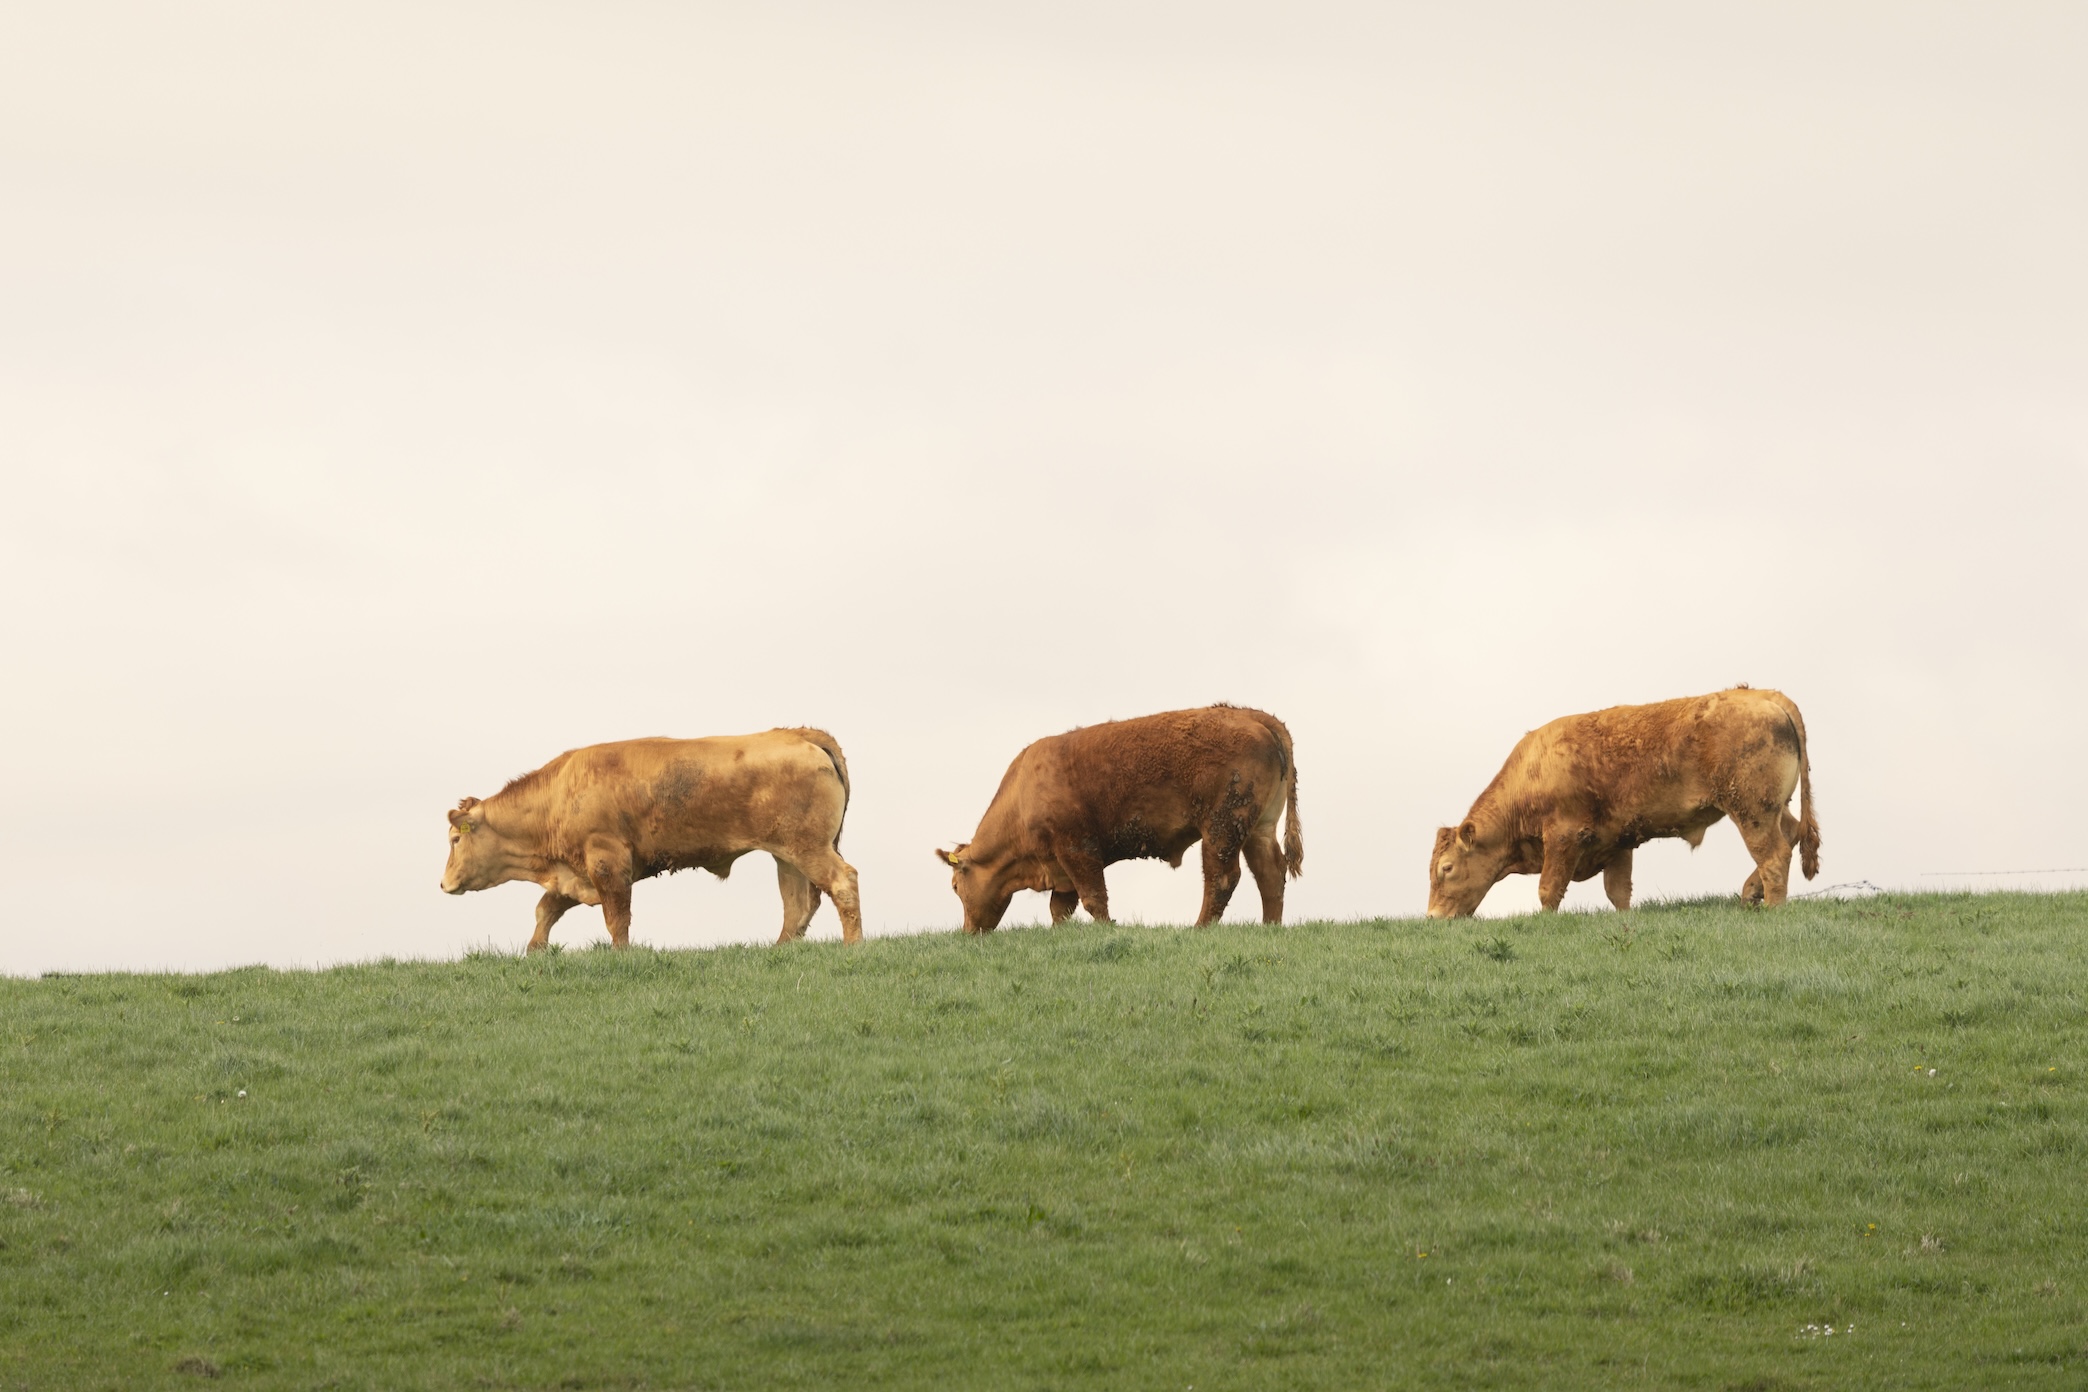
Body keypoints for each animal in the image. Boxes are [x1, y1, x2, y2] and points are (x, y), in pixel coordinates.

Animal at [440, 728, 862, 949]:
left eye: (455, 840)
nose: (443, 884)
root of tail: (799, 733)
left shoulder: (606, 862)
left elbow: (617, 919)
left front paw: (620, 955)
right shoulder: (576, 874)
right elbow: (546, 910)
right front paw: (535, 952)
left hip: (808, 848)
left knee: (842, 883)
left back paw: (853, 947)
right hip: (787, 855)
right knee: (798, 903)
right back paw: (780, 950)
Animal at [935, 705, 1302, 933]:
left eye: (955, 886)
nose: (968, 933)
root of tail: (1251, 715)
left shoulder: (1077, 848)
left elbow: (1094, 898)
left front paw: (1105, 929)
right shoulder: (1063, 868)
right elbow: (1060, 908)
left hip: (1222, 828)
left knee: (1222, 878)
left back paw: (1199, 928)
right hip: (1259, 829)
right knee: (1270, 873)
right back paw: (1270, 927)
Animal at [1427, 687, 1820, 918]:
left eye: (1446, 868)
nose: (1432, 917)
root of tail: (1765, 695)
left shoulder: (1563, 837)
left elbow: (1548, 890)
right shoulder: (1617, 843)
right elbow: (1618, 893)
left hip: (1751, 811)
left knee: (1774, 856)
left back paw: (1772, 908)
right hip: (1774, 809)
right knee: (1791, 835)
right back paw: (1752, 892)